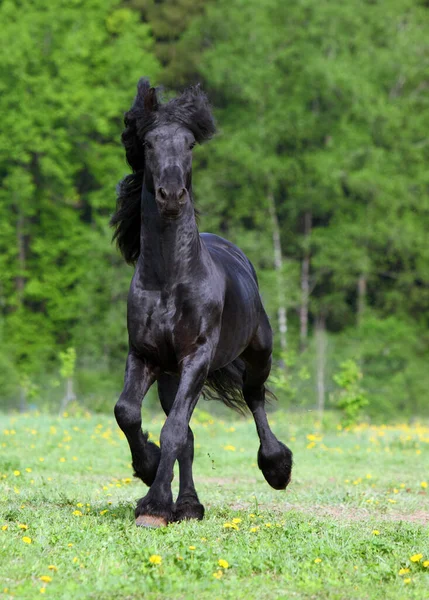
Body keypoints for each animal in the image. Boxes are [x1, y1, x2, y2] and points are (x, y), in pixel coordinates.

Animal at [111, 78, 290, 524]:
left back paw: (276, 467)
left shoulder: (198, 356)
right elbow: (129, 413)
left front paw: (154, 506)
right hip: (171, 376)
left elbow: (173, 429)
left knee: (254, 397)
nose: (172, 196)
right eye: (149, 142)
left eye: (190, 144)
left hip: (258, 352)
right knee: (188, 434)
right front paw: (148, 469)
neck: (170, 280)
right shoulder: (145, 355)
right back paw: (189, 505)